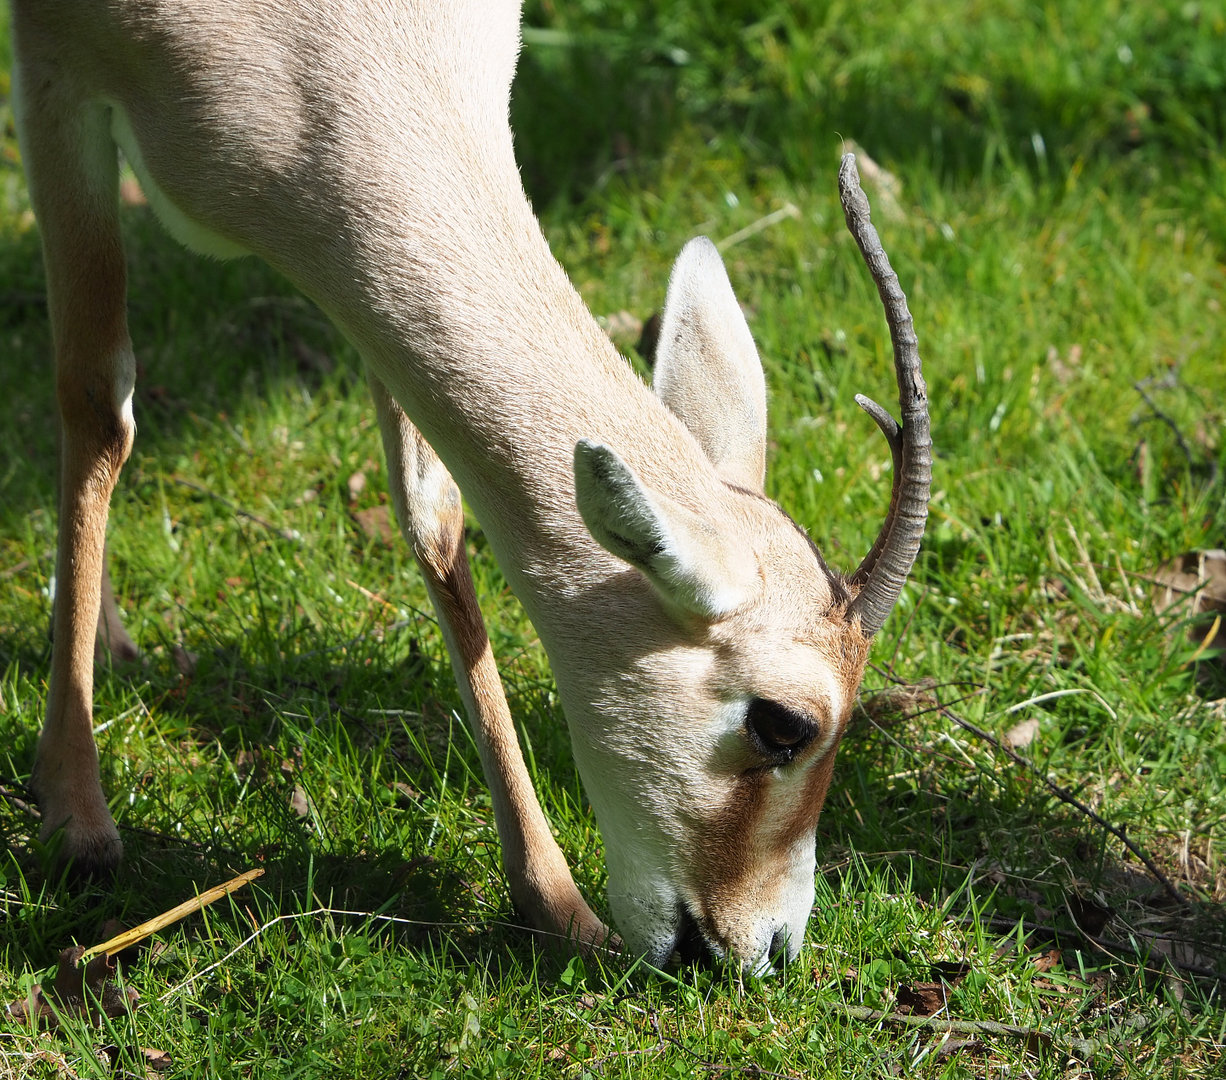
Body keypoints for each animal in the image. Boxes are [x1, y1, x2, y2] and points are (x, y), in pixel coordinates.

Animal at [11, 0, 930, 975]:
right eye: (785, 724)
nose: (767, 946)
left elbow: (432, 513)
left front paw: (554, 899)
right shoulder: (54, 71)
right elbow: (95, 404)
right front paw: (74, 813)